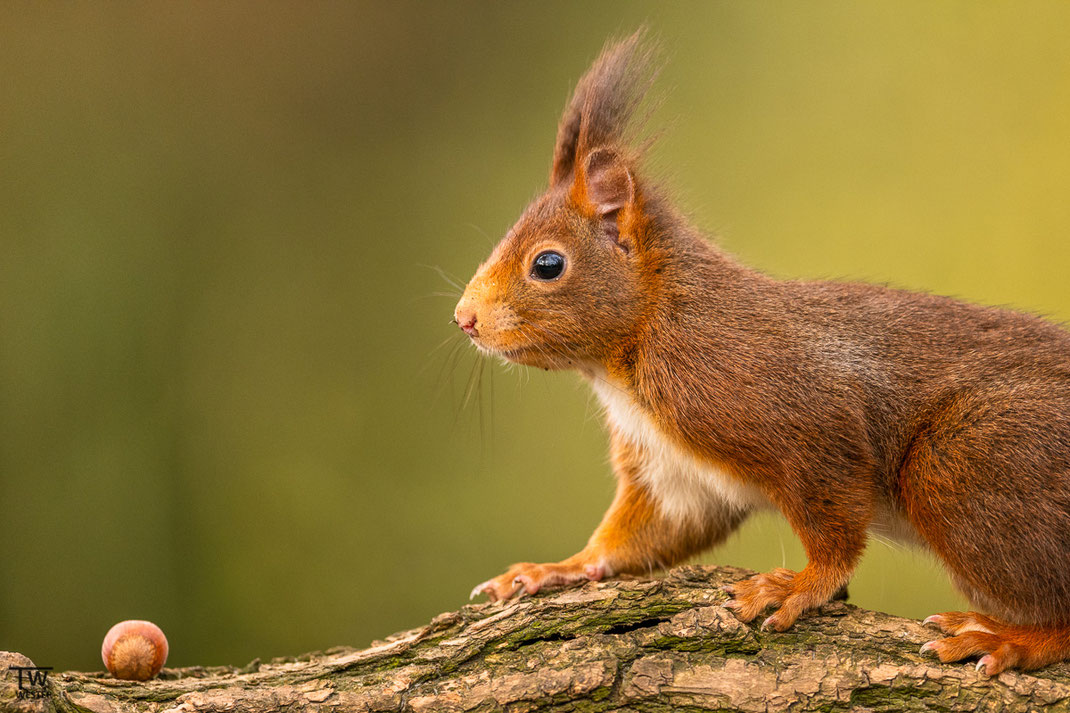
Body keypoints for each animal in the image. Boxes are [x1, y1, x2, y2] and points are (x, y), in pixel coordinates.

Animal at [451, 31, 1070, 672]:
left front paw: (800, 584)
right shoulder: (673, 474)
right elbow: (640, 536)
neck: (639, 347)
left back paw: (1012, 638)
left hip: (969, 462)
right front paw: (556, 567)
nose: (464, 319)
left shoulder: (798, 411)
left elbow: (834, 526)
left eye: (548, 264)